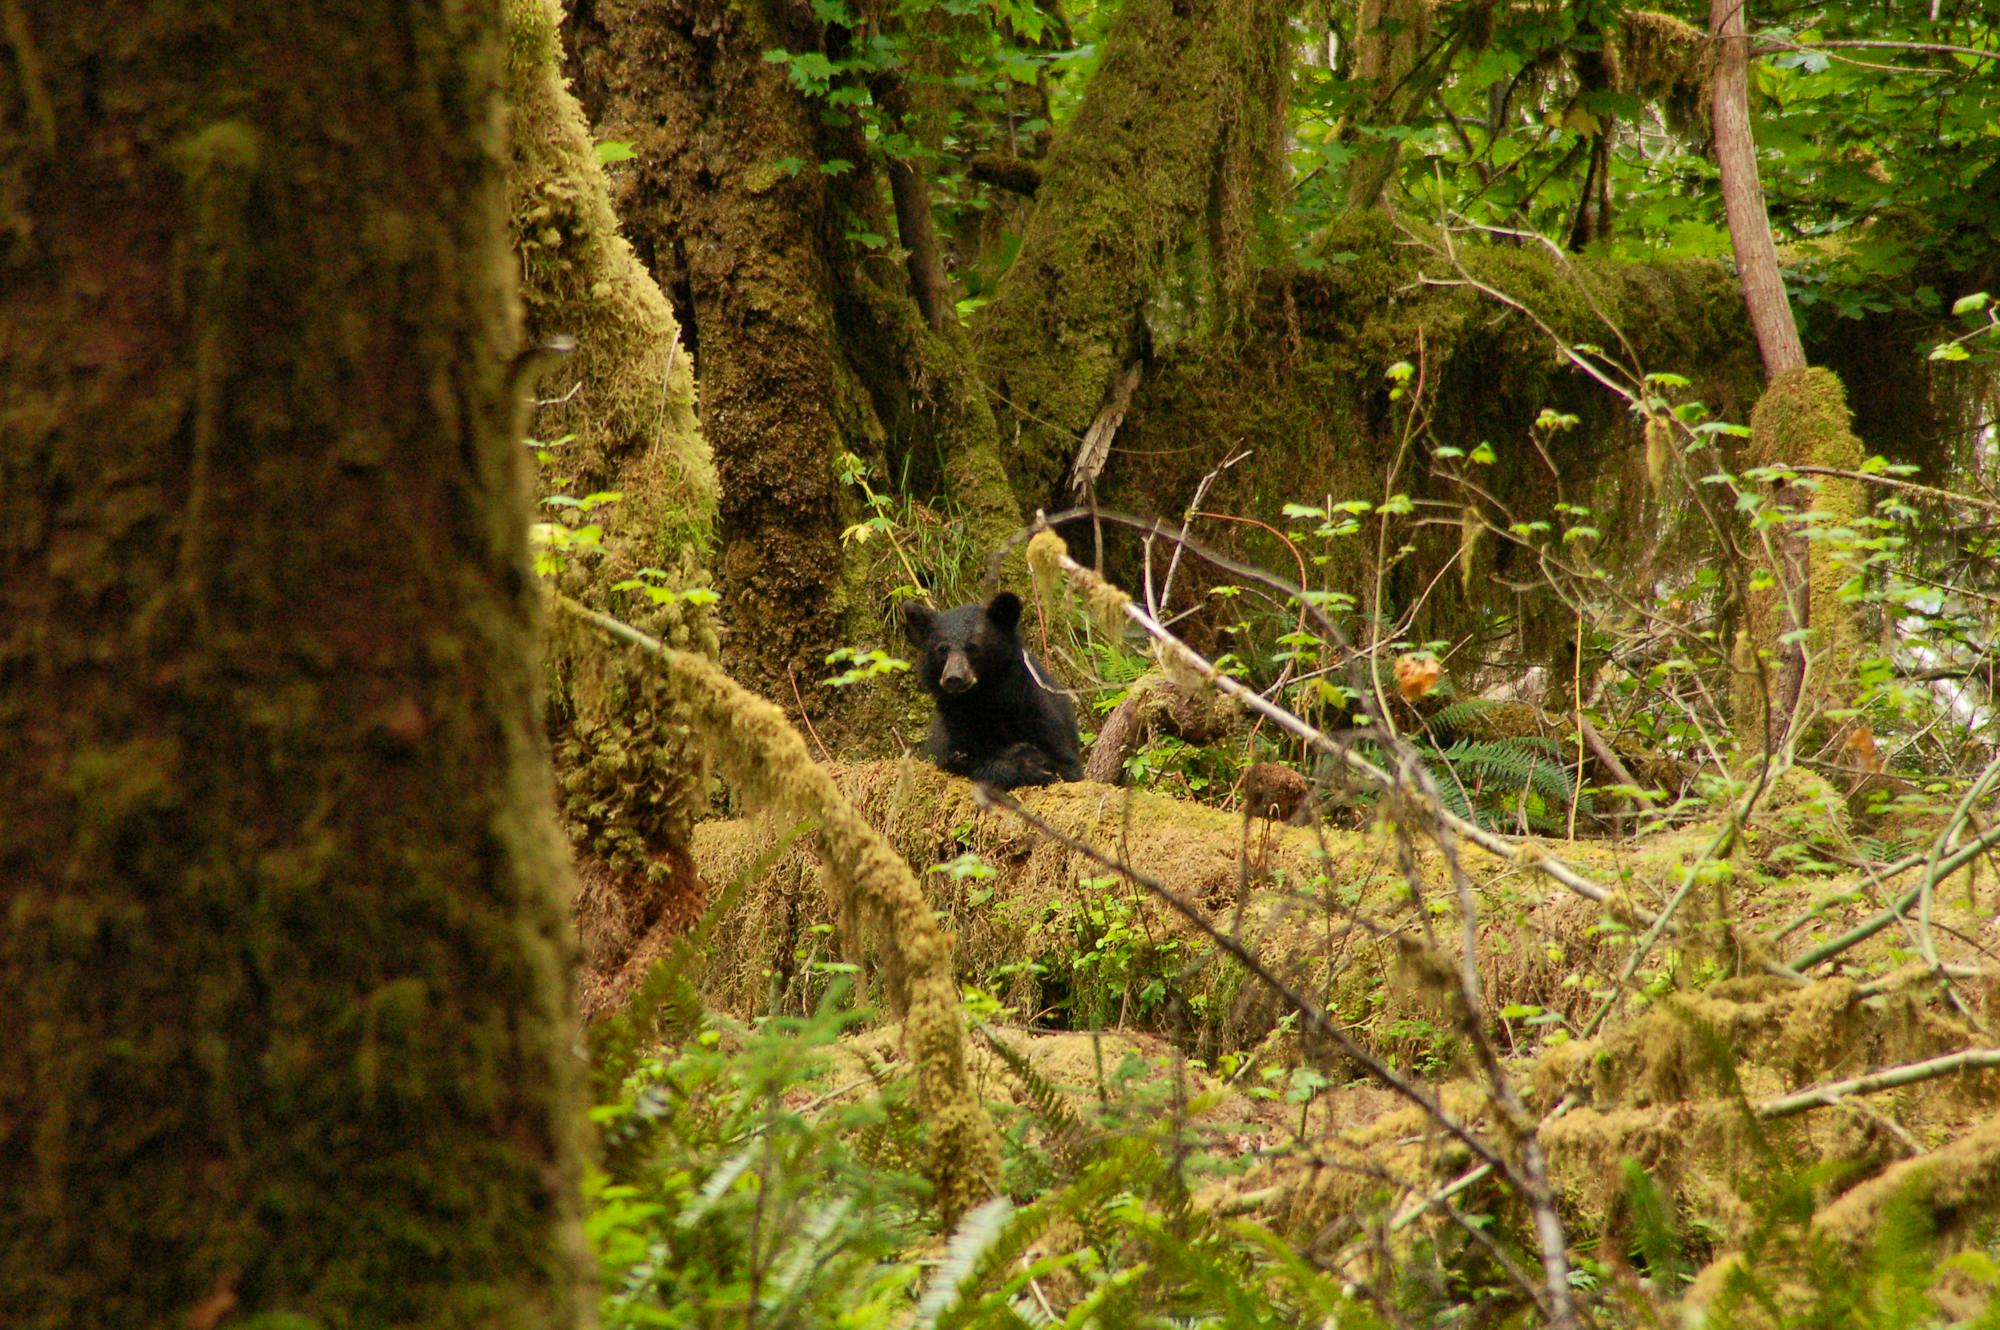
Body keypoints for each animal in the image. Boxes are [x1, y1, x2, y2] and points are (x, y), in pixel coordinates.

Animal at [908, 592, 1088, 788]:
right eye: (942, 649)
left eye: (972, 647)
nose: (954, 678)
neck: (982, 698)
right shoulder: (952, 727)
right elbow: (956, 757)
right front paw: (1025, 765)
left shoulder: (1034, 711)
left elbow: (1065, 763)